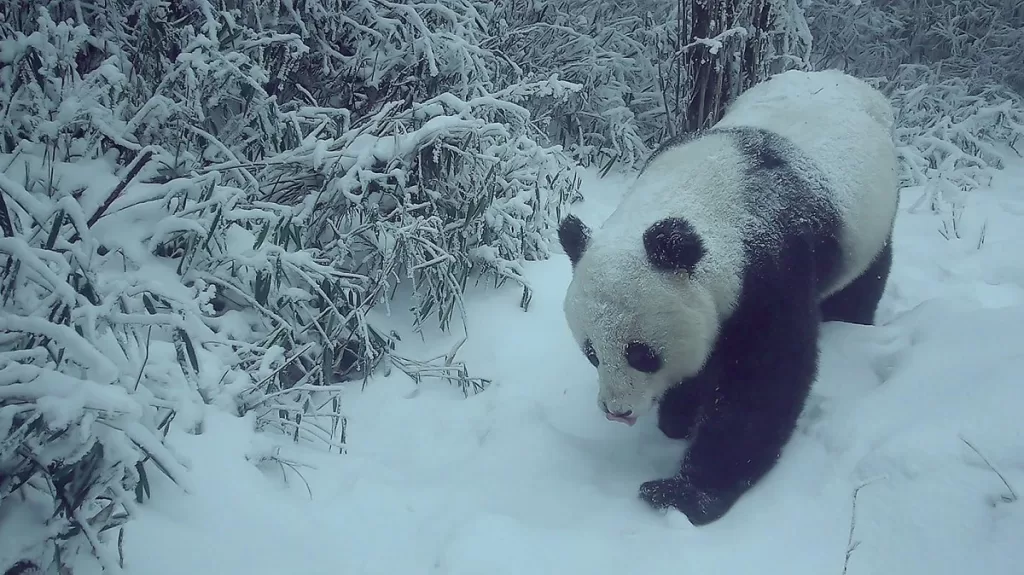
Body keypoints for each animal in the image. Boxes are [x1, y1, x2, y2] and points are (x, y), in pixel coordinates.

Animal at [556, 69, 900, 526]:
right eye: (592, 353)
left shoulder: (771, 265)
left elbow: (763, 380)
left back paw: (851, 321)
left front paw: (683, 494)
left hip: (872, 217)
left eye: (642, 354)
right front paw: (678, 416)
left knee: (865, 278)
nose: (618, 410)